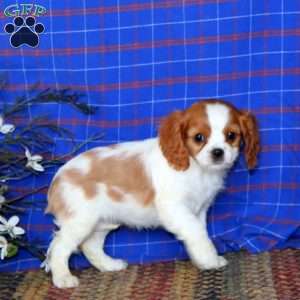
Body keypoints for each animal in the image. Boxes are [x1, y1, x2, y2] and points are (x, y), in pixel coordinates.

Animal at [45, 100, 260, 288]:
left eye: (231, 135)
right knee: (59, 247)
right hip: (80, 221)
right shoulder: (175, 208)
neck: (196, 168)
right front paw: (210, 258)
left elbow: (199, 232)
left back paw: (109, 265)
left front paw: (202, 259)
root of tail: (57, 180)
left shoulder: (199, 210)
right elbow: (197, 233)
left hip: (103, 222)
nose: (218, 152)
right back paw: (63, 278)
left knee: (91, 246)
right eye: (199, 137)